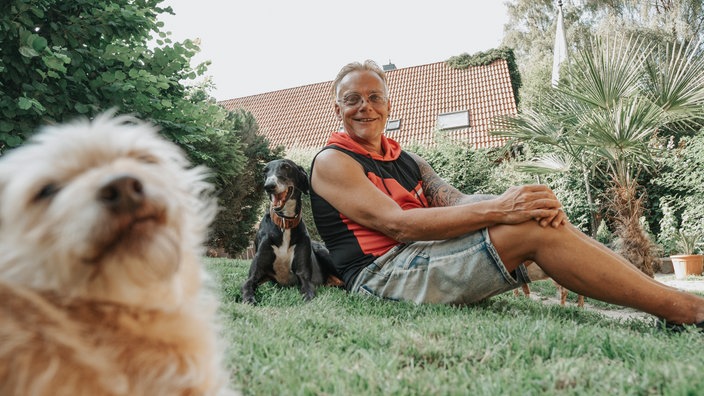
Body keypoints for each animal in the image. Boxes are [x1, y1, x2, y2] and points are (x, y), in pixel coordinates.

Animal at [241, 158, 342, 304]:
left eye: (286, 167)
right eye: (264, 171)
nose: (269, 186)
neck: (284, 222)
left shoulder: (304, 276)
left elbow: (308, 293)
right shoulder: (255, 275)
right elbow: (247, 284)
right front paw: (249, 300)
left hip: (324, 253)